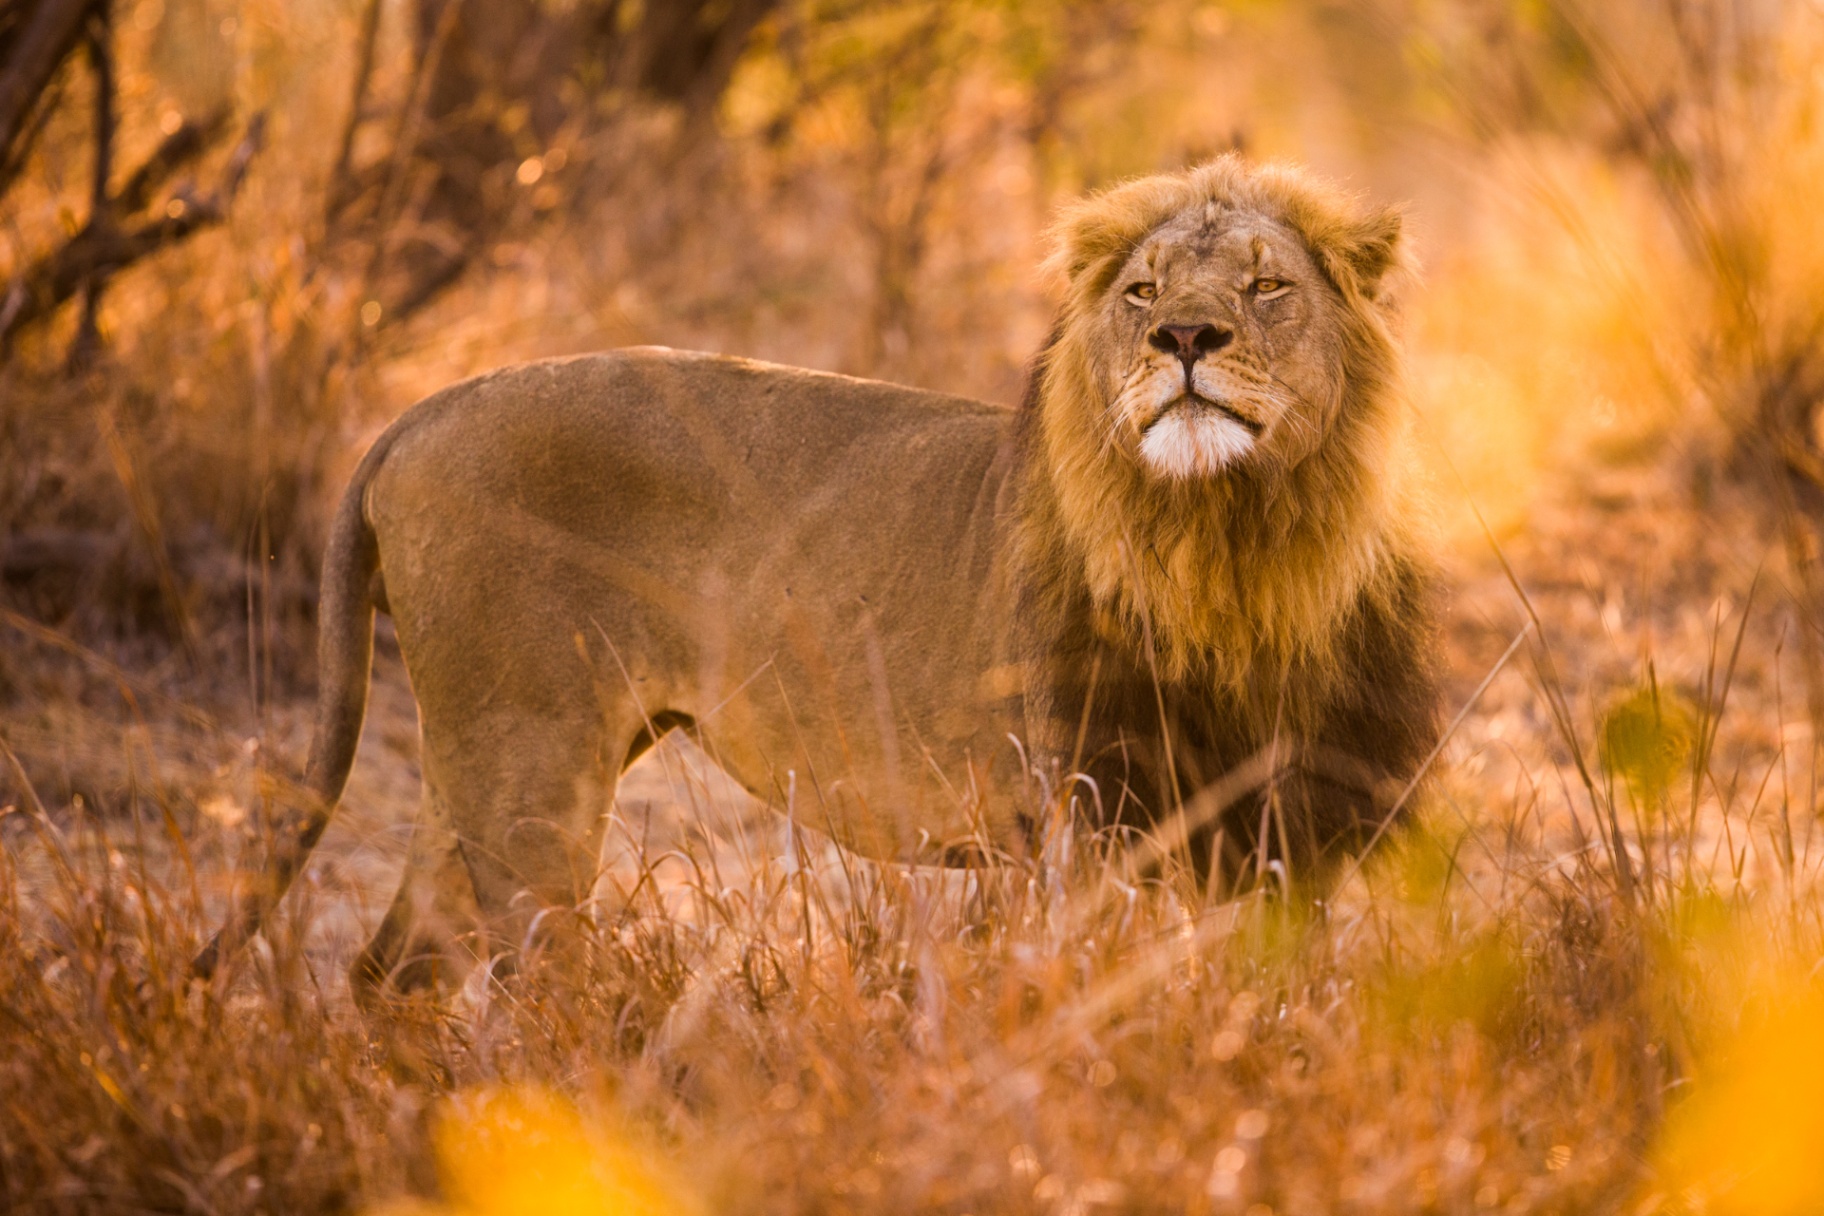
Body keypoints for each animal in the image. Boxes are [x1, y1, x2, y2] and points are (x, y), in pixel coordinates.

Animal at [195, 156, 1440, 999]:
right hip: (527, 772)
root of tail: (418, 414)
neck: (1235, 544)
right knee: (524, 979)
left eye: (1269, 286)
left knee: (391, 964)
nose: (1184, 335)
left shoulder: (1295, 830)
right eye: (1141, 291)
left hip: (478, 770)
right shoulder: (1091, 814)